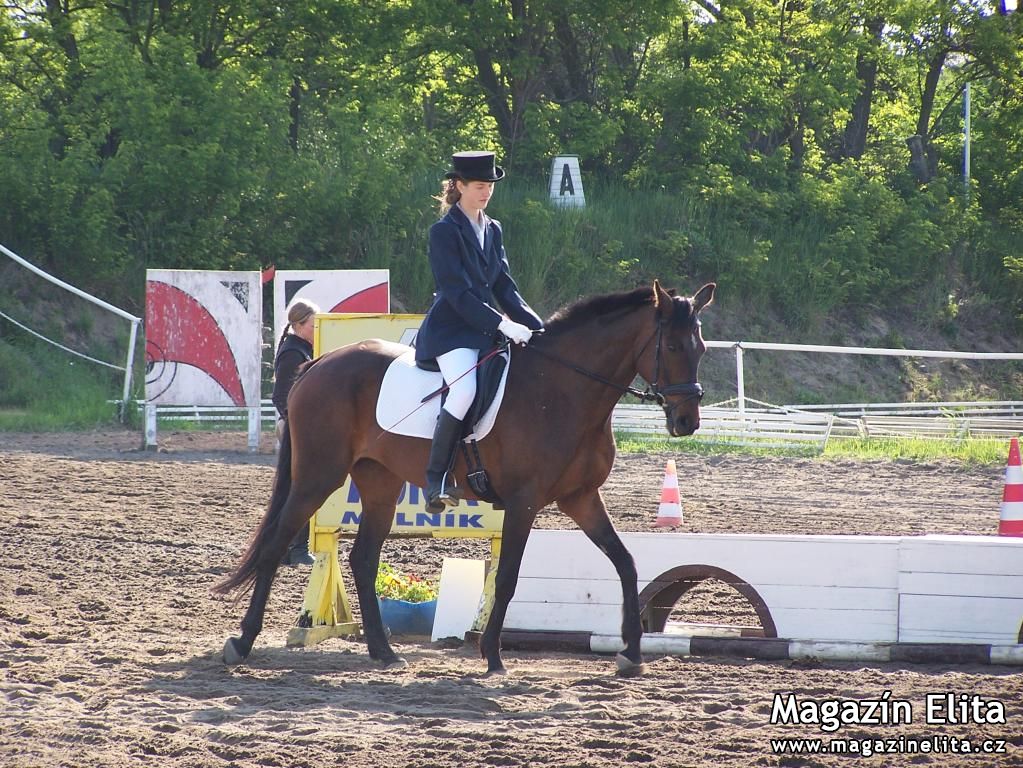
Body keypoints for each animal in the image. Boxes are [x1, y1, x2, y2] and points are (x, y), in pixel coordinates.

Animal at [212, 280, 716, 674]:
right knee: (277, 544)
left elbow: (626, 562)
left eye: (701, 349)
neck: (562, 391)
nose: (687, 421)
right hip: (318, 476)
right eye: (673, 347)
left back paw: (383, 652)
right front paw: (492, 655)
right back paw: (241, 643)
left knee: (363, 558)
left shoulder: (581, 497)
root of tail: (319, 363)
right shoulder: (524, 501)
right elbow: (507, 577)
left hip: (379, 482)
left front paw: (631, 653)